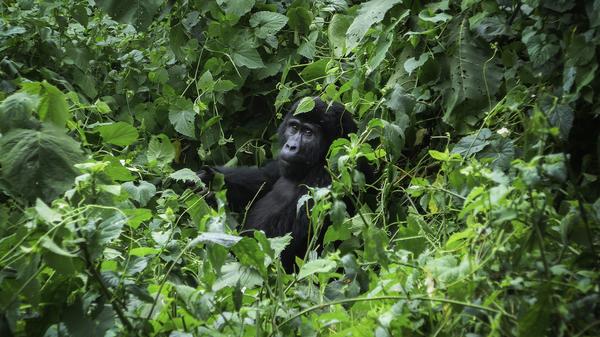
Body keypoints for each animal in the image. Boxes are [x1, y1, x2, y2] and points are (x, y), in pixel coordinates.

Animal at [199, 96, 356, 270]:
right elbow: (263, 179)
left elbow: (272, 246)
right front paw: (210, 180)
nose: (291, 146)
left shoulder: (327, 179)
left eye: (308, 133)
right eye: (294, 127)